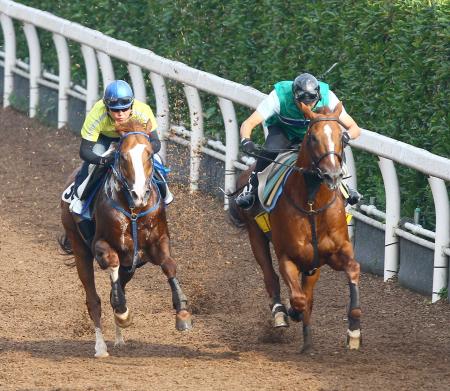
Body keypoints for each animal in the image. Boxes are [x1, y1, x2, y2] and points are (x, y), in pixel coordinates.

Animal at [59, 118, 192, 358]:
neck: (133, 209)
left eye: (149, 154)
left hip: (131, 266)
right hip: (79, 248)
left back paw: (119, 337)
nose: (140, 193)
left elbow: (169, 265)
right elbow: (111, 266)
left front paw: (182, 313)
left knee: (116, 288)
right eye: (122, 156)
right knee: (93, 300)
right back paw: (101, 346)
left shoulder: (156, 243)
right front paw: (123, 314)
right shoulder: (101, 245)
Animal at [230, 102, 360, 354]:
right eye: (313, 137)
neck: (312, 205)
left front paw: (354, 331)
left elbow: (353, 270)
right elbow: (297, 299)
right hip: (255, 234)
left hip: (313, 265)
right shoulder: (287, 257)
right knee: (270, 276)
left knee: (307, 292)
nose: (332, 175)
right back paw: (281, 313)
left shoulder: (335, 253)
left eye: (341, 136)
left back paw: (307, 341)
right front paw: (291, 311)